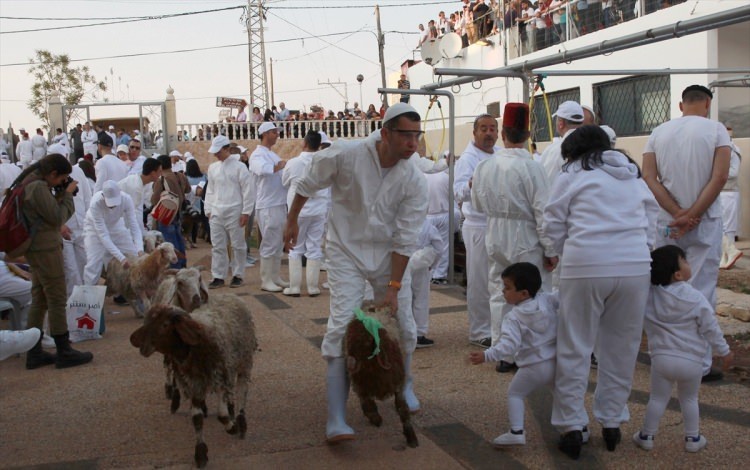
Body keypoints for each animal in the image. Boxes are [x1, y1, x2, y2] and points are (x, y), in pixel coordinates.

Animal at [131, 296, 258, 468]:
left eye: (165, 324)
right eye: (146, 320)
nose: (137, 343)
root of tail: (231, 295)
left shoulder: (219, 376)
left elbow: (221, 415)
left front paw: (233, 428)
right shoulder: (195, 384)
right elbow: (197, 419)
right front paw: (201, 453)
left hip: (243, 362)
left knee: (242, 390)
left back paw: (241, 420)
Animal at [344, 304, 420, 448]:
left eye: (368, 342)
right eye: (352, 346)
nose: (351, 365)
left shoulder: (397, 386)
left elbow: (402, 410)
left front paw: (412, 438)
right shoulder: (362, 386)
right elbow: (368, 402)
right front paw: (375, 418)